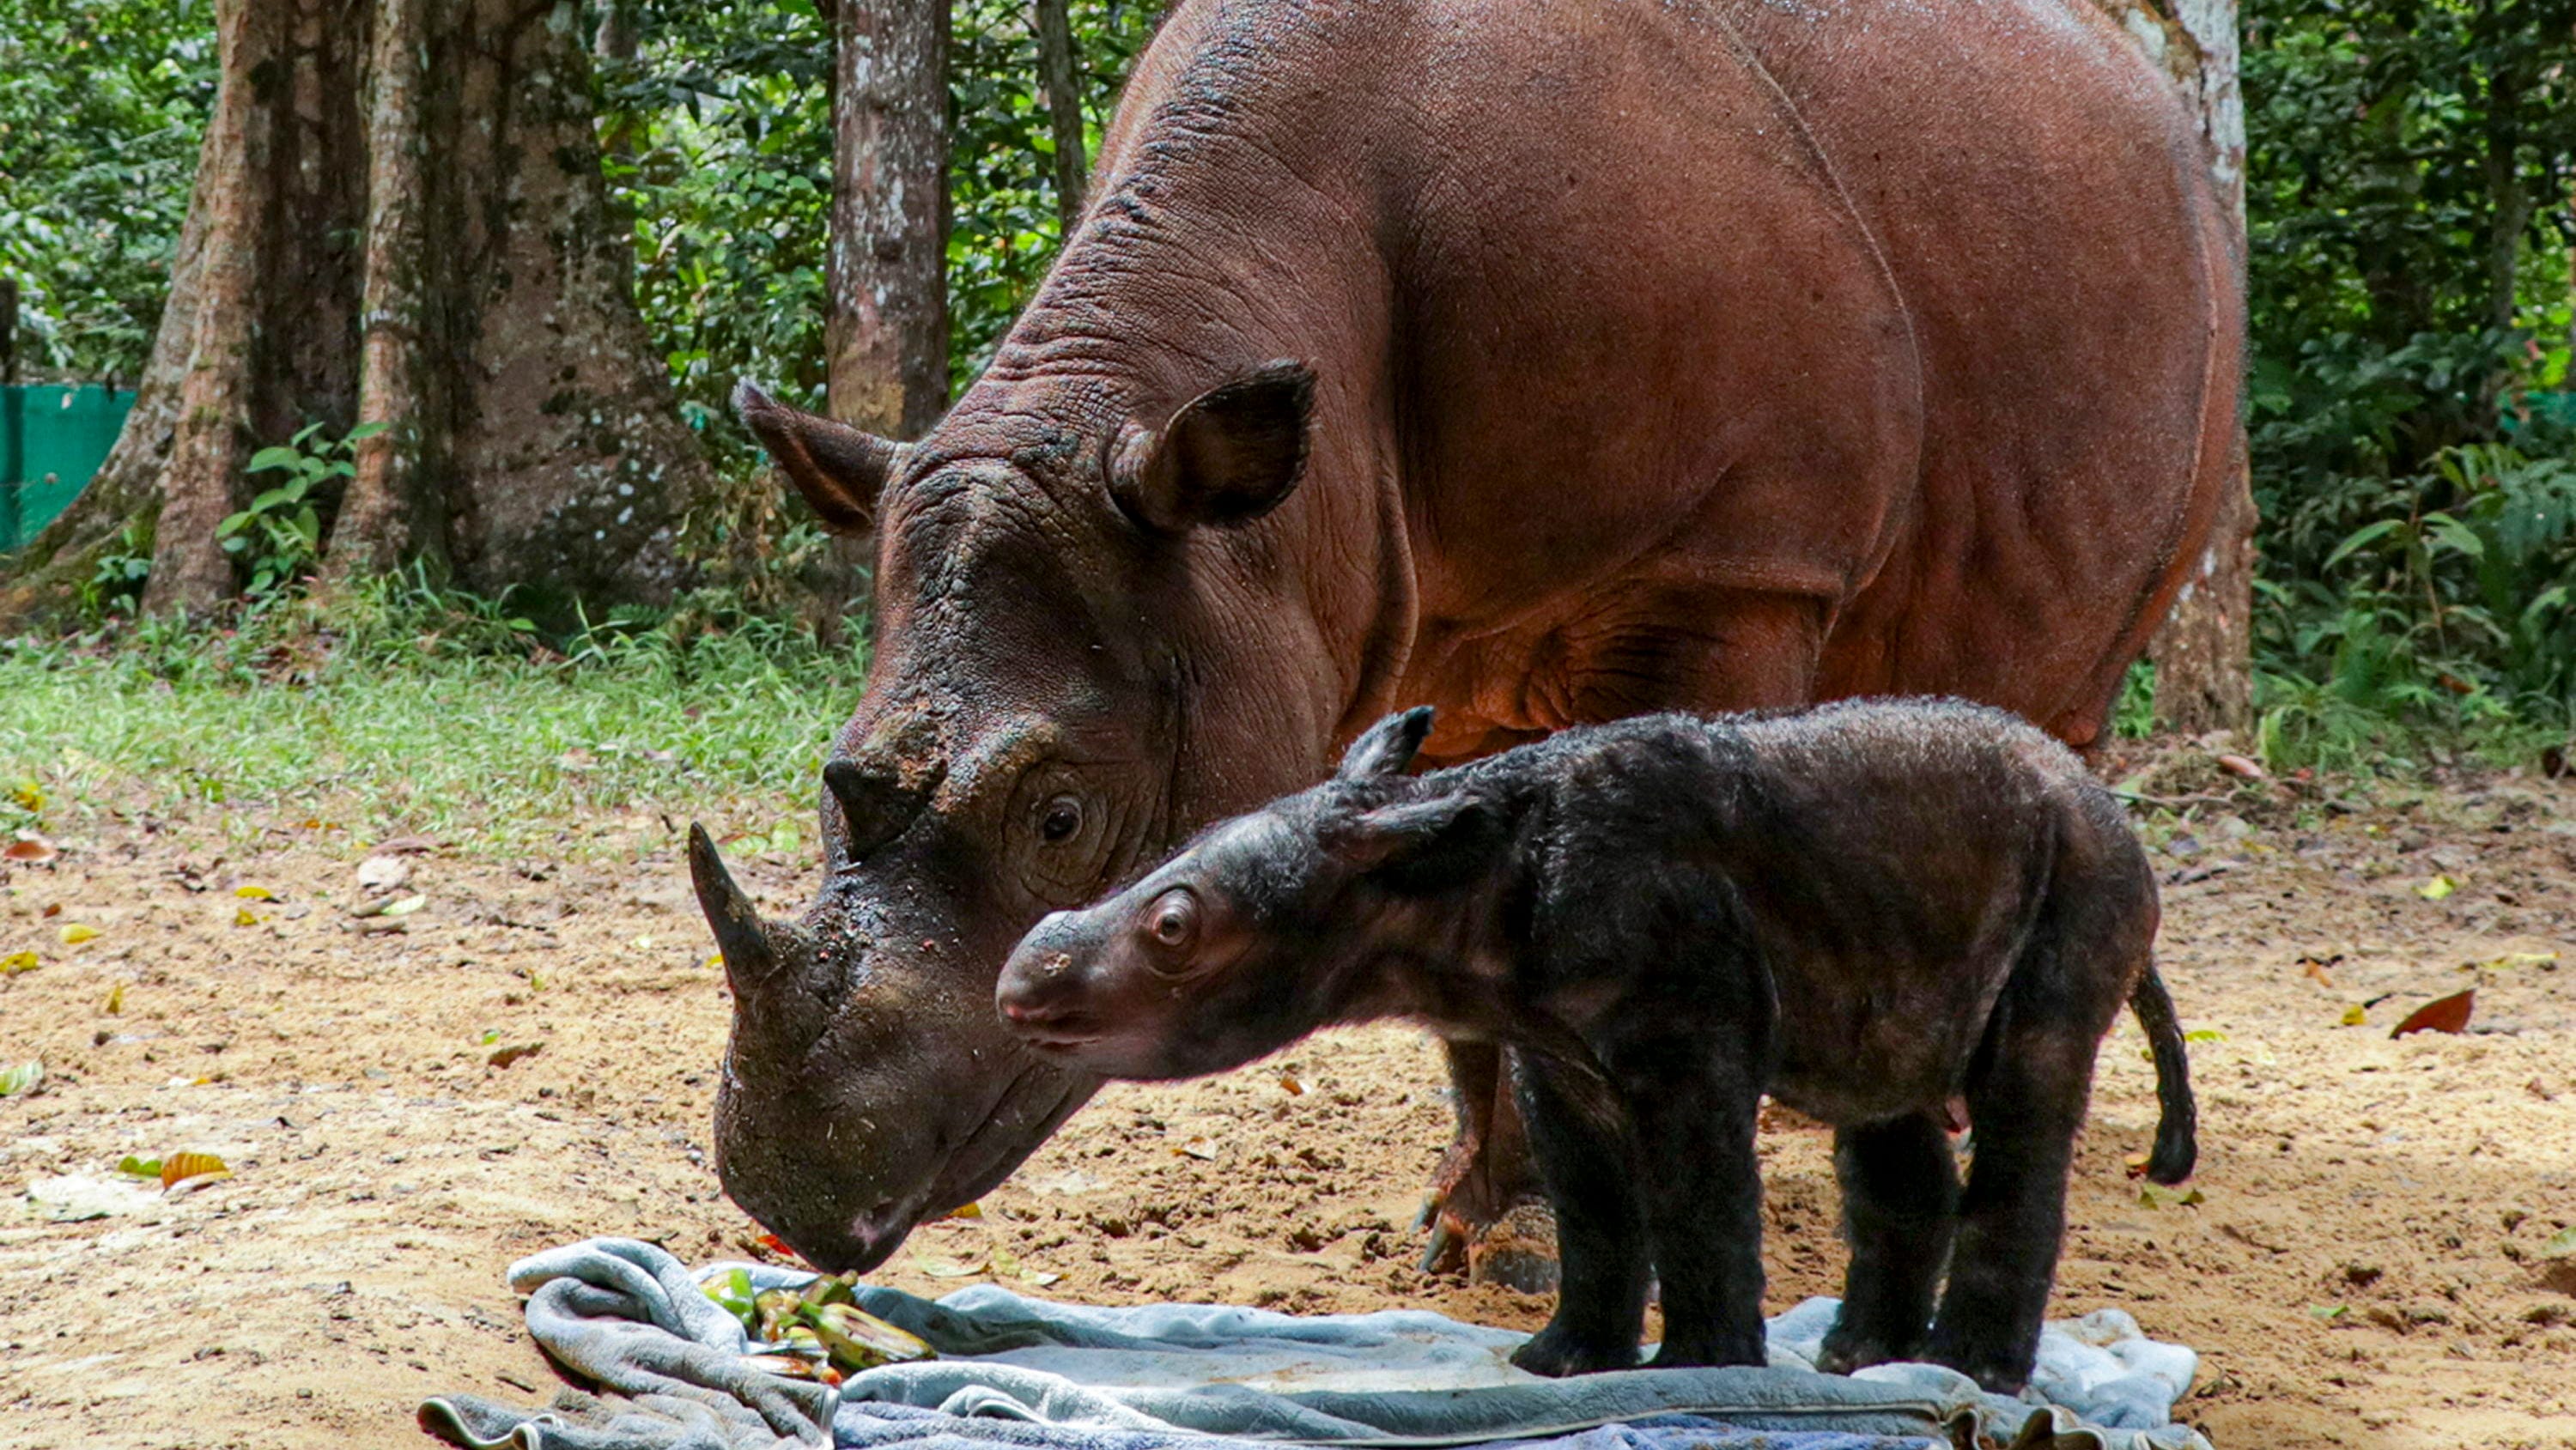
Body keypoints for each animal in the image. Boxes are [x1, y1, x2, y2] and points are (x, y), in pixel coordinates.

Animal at [687, 0, 2243, 1274]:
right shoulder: (1397, 618)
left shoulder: (1731, 568)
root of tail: (2139, 83)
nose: (792, 1189)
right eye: (829, 776)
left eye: (1062, 817)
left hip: (2189, 345)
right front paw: (1485, 1227)